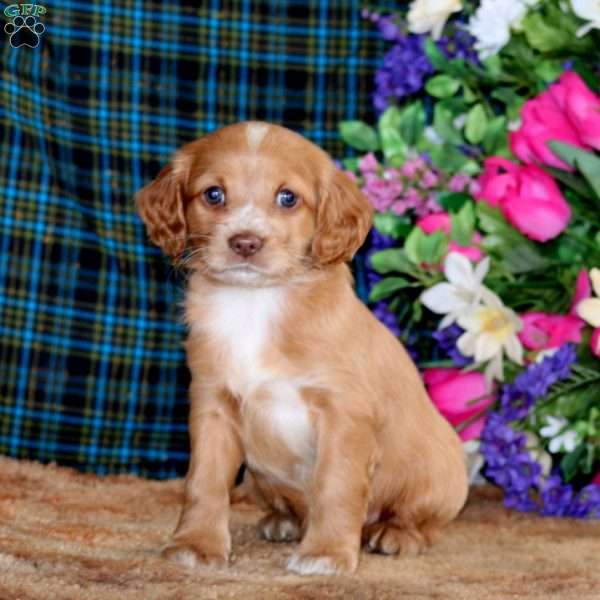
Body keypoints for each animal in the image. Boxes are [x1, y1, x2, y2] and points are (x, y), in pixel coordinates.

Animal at [137, 119, 468, 576]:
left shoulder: (344, 412)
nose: (245, 242)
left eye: (287, 197)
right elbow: (203, 480)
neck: (255, 303)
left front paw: (326, 553)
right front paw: (196, 543)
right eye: (214, 194)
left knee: (424, 521)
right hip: (257, 476)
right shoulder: (212, 401)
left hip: (440, 475)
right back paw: (283, 521)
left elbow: (336, 484)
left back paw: (394, 534)